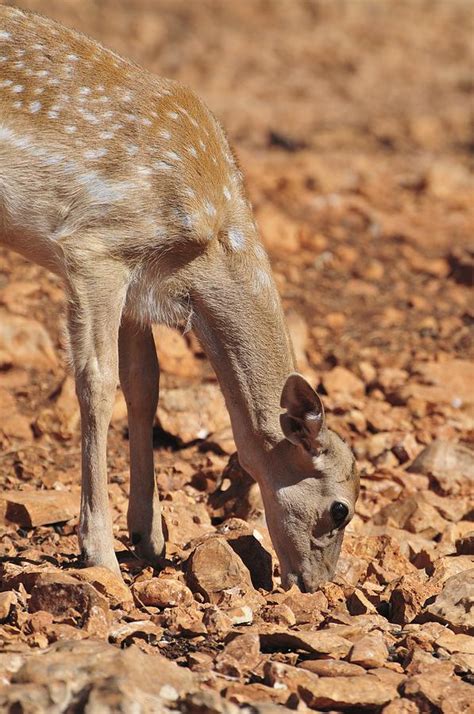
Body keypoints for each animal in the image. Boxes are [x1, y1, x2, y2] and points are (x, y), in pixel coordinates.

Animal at [0, 8, 356, 592]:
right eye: (340, 509)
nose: (316, 585)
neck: (199, 258)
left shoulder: (138, 286)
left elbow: (146, 384)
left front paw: (151, 536)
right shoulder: (94, 250)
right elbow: (97, 381)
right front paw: (100, 553)